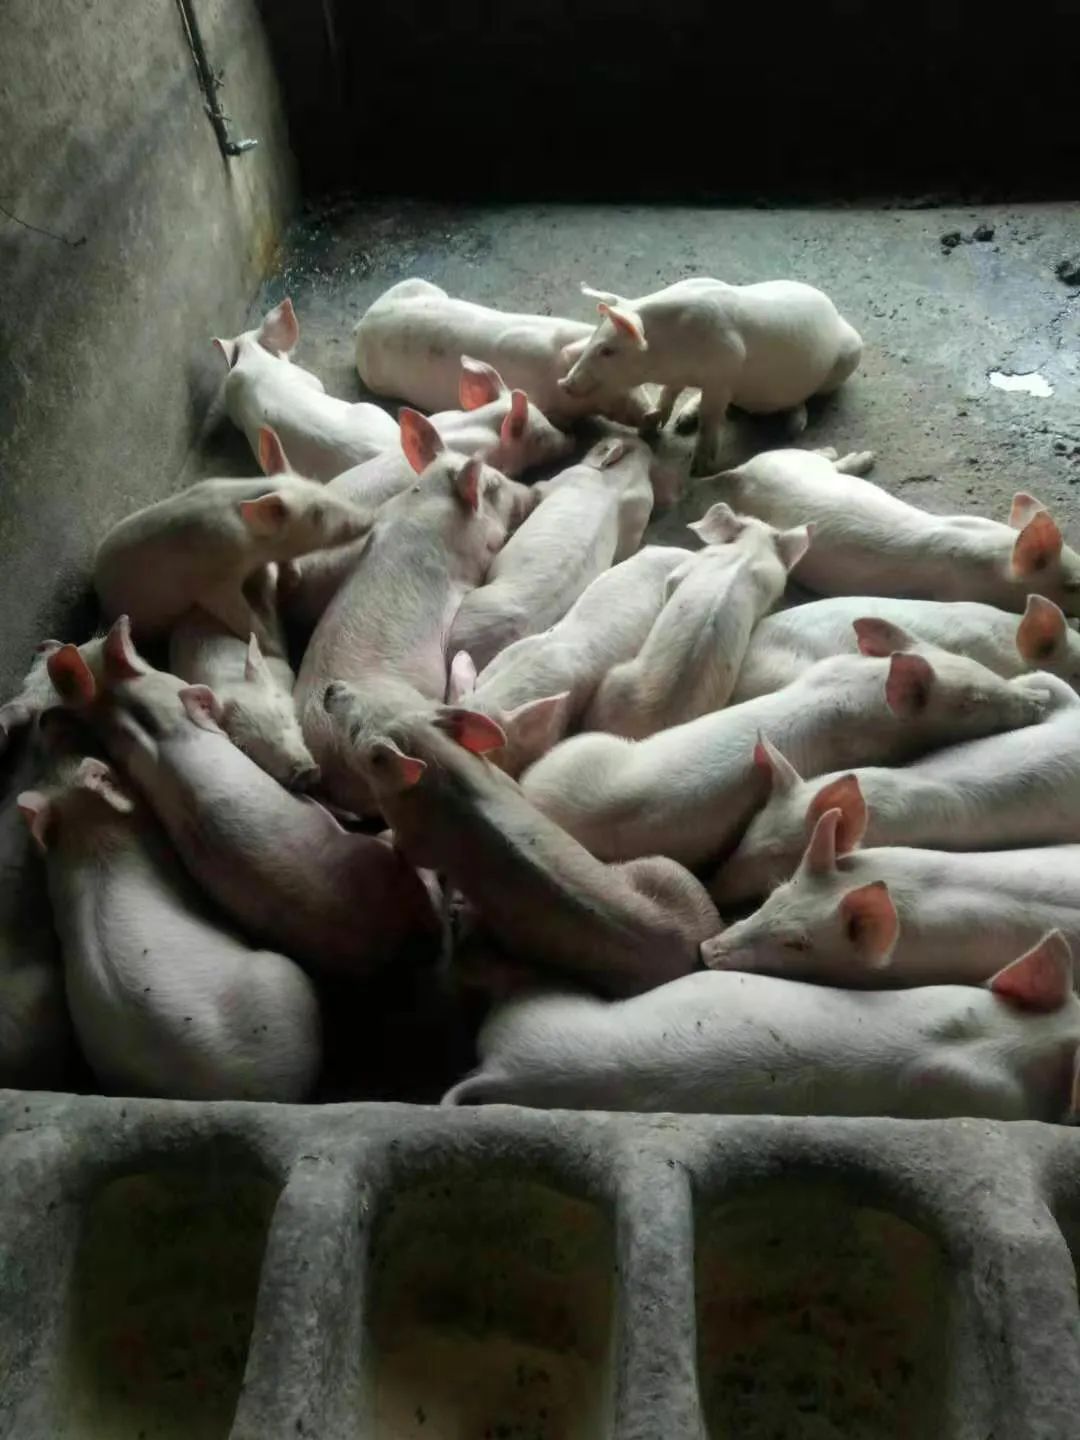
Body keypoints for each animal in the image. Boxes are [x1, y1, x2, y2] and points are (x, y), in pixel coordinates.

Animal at [94, 426, 372, 647]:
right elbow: (241, 617)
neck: (254, 548)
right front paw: (271, 645)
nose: (370, 518)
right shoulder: (212, 582)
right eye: (317, 514)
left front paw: (290, 583)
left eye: (316, 483)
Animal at [322, 685, 720, 998]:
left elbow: (405, 849)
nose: (331, 688)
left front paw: (381, 838)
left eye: (355, 731)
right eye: (390, 689)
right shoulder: (504, 780)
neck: (442, 770)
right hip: (673, 876)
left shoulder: (418, 836)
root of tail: (689, 961)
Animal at [558, 279, 863, 472]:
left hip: (849, 356)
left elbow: (710, 415)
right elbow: (669, 394)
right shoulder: (680, 376)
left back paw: (794, 427)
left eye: (607, 350)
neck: (669, 353)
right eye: (594, 339)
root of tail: (837, 314)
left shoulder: (724, 373)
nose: (564, 383)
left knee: (804, 400)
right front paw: (650, 427)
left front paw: (699, 468)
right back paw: (684, 420)